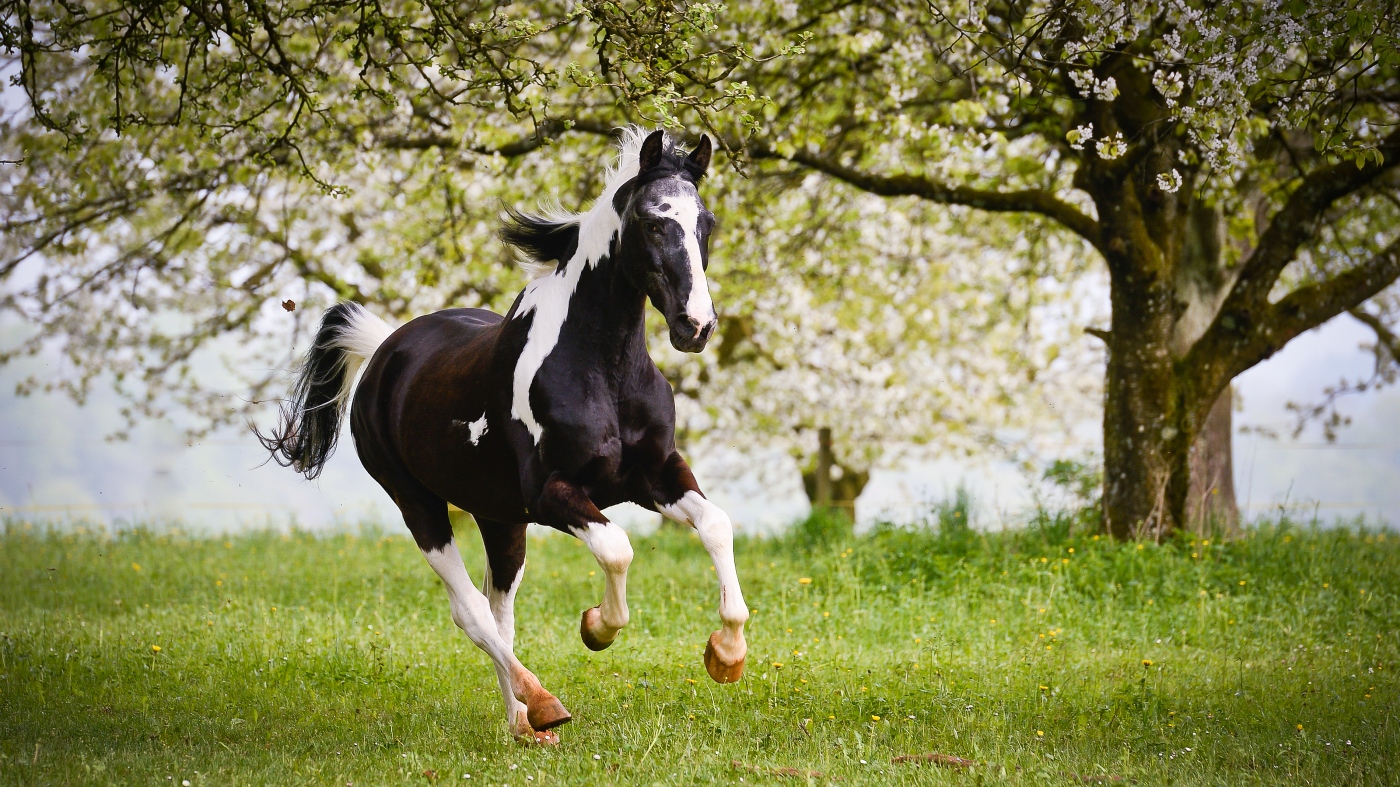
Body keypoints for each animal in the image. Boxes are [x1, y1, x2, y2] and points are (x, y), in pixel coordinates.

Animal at [259, 127, 750, 739]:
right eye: (652, 219)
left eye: (706, 221)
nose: (696, 326)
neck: (602, 368)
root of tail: (384, 348)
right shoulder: (552, 494)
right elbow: (617, 549)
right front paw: (596, 627)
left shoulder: (656, 475)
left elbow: (717, 527)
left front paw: (726, 655)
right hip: (418, 504)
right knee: (471, 610)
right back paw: (541, 703)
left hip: (499, 517)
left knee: (500, 609)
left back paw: (523, 722)